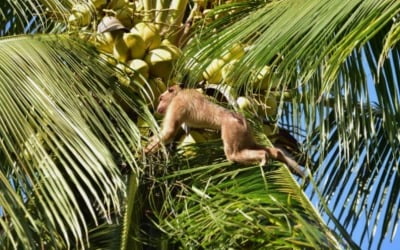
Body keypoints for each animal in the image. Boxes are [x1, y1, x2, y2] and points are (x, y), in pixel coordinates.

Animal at [145, 85, 304, 177]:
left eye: (161, 98)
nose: (158, 106)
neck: (181, 92)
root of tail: (240, 119)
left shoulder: (178, 103)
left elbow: (170, 131)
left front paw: (143, 152)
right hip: (246, 134)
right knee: (257, 147)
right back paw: (277, 154)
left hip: (231, 129)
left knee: (233, 155)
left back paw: (263, 156)